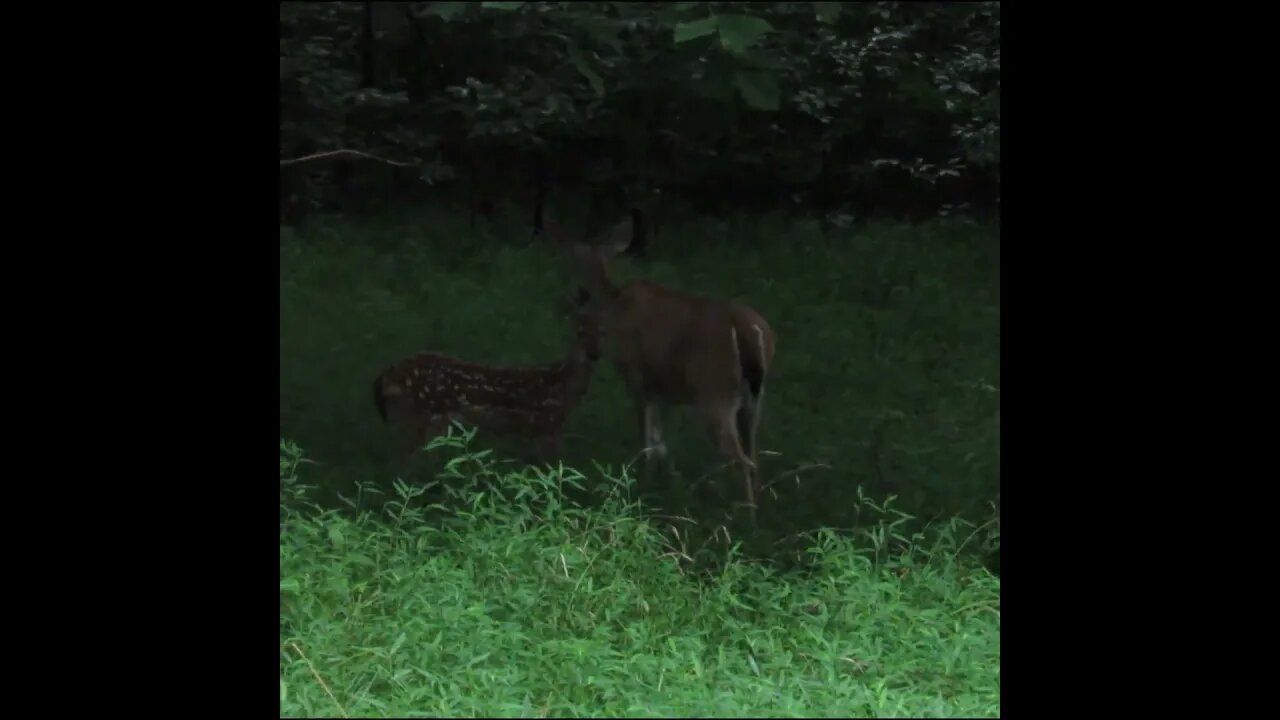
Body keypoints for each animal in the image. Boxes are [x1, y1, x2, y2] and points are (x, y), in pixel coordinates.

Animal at [372, 290, 601, 468]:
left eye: (602, 333)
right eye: (579, 333)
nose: (594, 354)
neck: (563, 384)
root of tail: (388, 374)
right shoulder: (546, 428)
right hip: (429, 414)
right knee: (410, 459)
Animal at [546, 216, 777, 516]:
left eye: (570, 261)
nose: (576, 294)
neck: (613, 306)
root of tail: (748, 328)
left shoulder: (636, 378)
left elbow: (647, 443)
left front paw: (641, 488)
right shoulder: (663, 388)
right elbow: (660, 443)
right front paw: (665, 486)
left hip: (714, 391)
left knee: (743, 461)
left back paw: (744, 519)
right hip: (752, 399)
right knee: (754, 456)